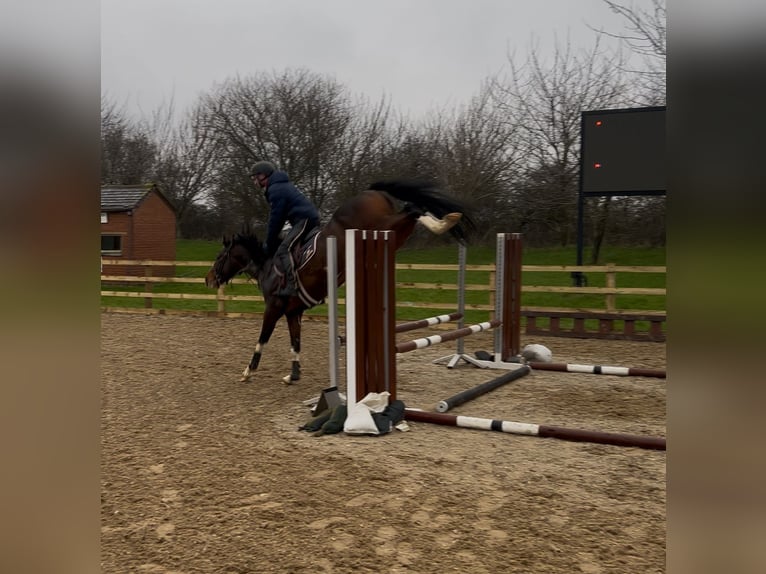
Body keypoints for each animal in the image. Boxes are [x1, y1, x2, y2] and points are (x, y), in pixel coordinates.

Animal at [207, 180, 476, 388]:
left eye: (220, 257)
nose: (209, 280)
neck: (266, 265)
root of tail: (371, 192)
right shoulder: (293, 311)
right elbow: (295, 342)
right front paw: (293, 375)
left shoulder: (273, 307)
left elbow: (262, 339)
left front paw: (248, 371)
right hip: (392, 236)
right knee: (412, 212)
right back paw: (445, 221)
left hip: (379, 228)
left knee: (412, 209)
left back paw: (444, 222)